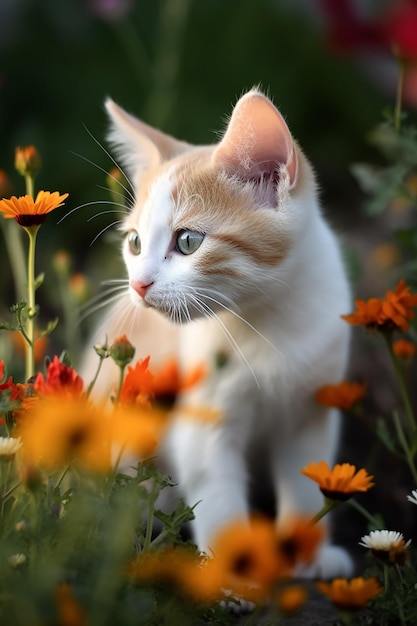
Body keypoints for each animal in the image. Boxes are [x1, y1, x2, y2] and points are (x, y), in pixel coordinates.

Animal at [80, 88, 352, 576]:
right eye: (135, 243)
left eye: (188, 241)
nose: (138, 285)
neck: (269, 319)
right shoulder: (203, 417)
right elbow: (217, 493)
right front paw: (234, 573)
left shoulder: (313, 407)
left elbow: (307, 480)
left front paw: (309, 556)